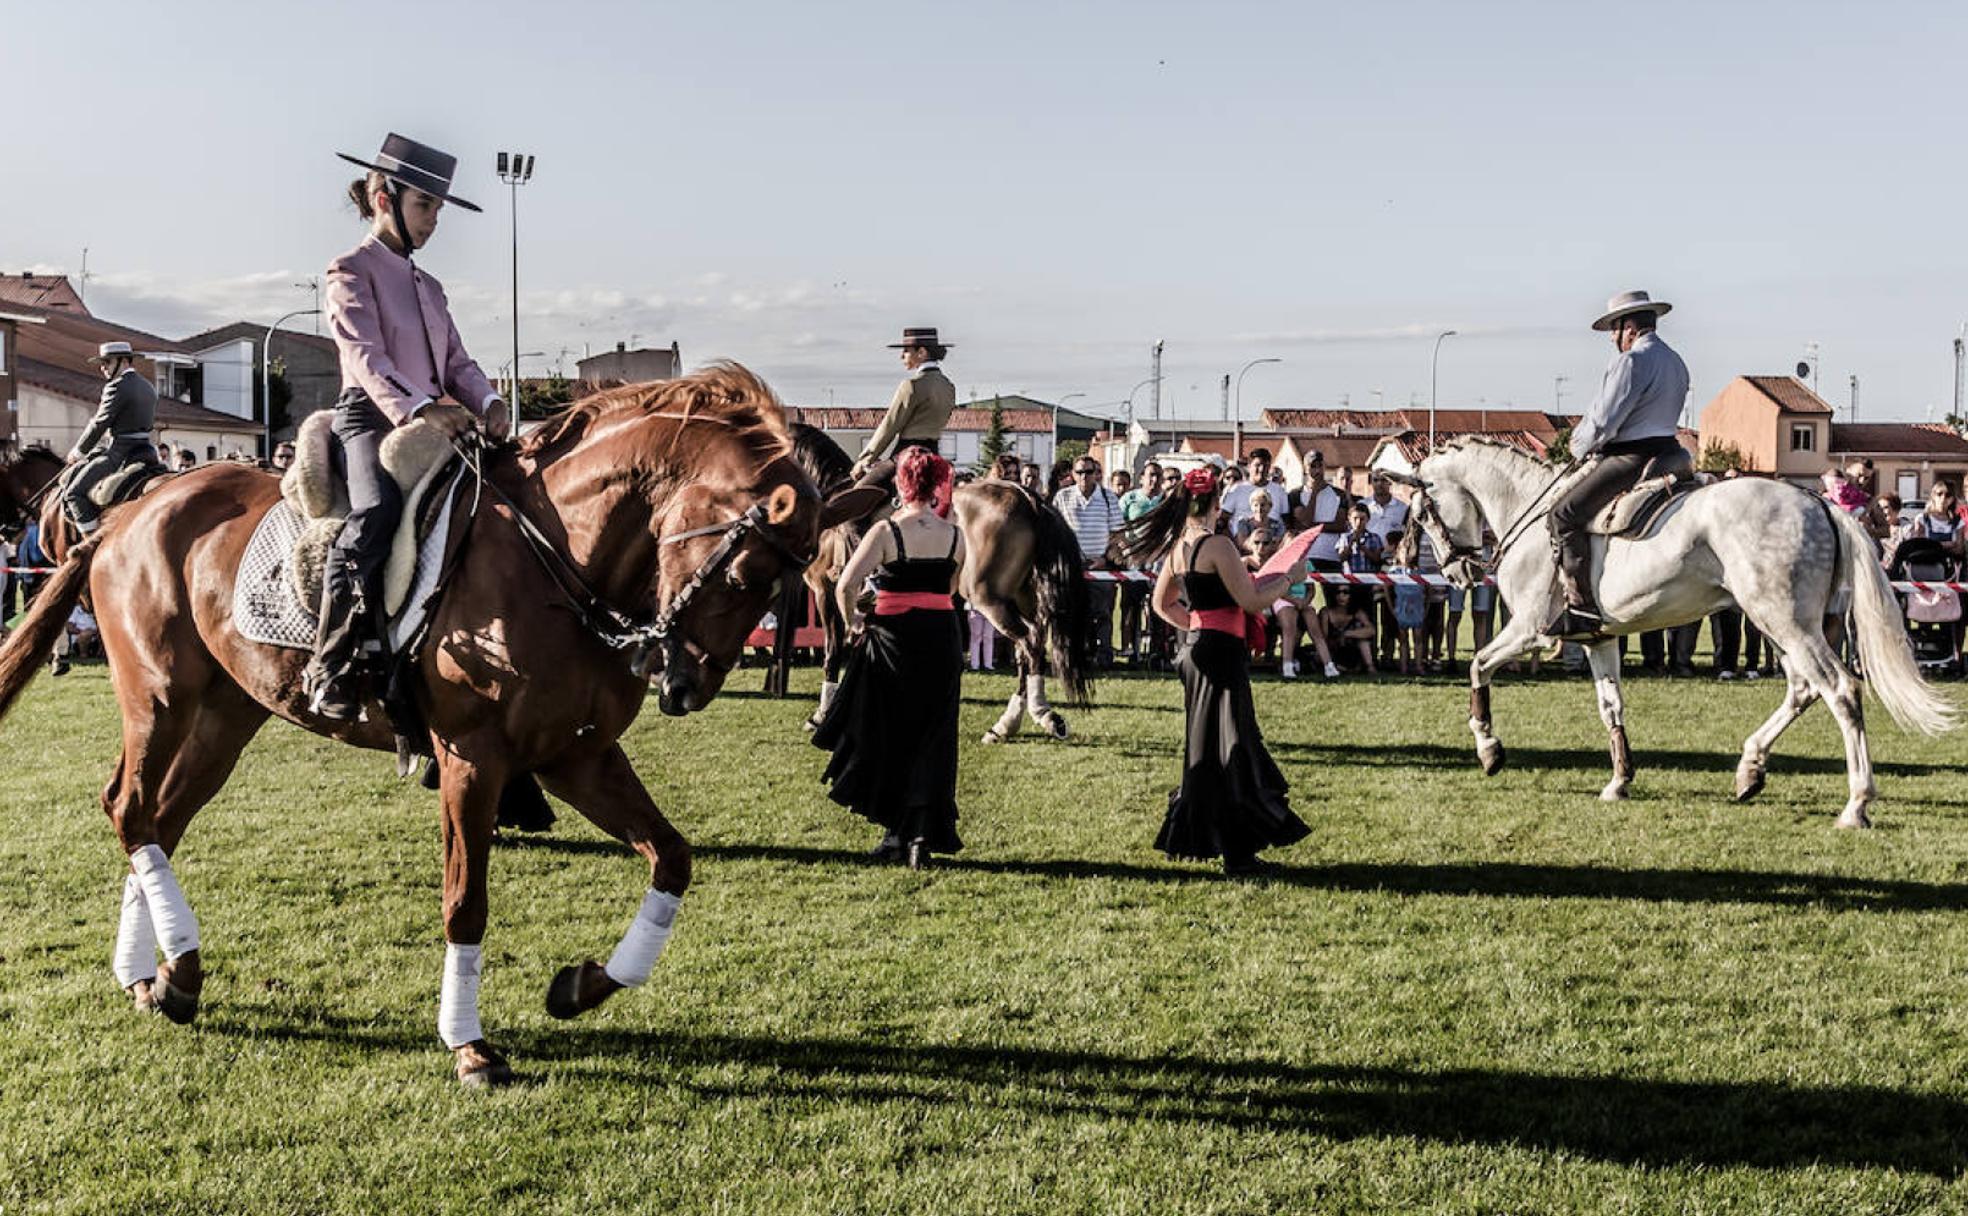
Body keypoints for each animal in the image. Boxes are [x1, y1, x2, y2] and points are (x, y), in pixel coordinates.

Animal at [0, 364, 861, 1086]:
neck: (557, 560)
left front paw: (583, 986)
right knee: (130, 808)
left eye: (791, 580)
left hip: (225, 715)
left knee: (160, 819)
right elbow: (465, 900)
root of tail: (127, 512)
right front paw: (470, 1045)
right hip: (160, 696)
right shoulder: (474, 757)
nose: (683, 685)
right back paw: (171, 971)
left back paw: (160, 979)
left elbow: (672, 859)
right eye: (747, 574)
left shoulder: (576, 756)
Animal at [1401, 434, 1952, 822]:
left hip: (1785, 621)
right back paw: (1749, 771)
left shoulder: (1529, 629)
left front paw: (1489, 750)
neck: (1530, 513)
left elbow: (1477, 666)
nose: (1456, 572)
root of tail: (1818, 502)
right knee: (1802, 688)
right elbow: (1611, 707)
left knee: (1839, 690)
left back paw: (1856, 804)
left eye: (1423, 512)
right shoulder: (1598, 639)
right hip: (1786, 624)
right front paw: (1619, 780)